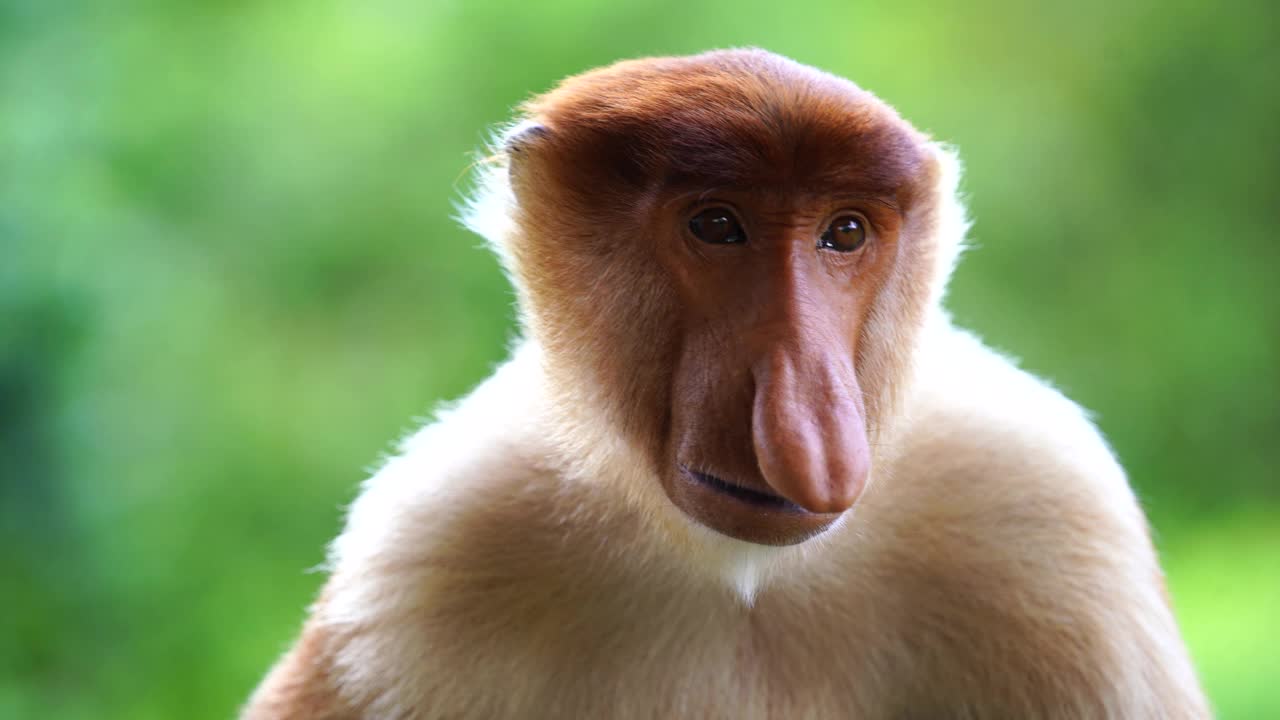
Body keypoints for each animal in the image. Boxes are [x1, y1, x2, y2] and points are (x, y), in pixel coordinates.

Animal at [241, 47, 1208, 712]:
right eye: (716, 224)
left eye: (845, 232)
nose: (805, 430)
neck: (746, 580)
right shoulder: (420, 560)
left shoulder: (1049, 514)